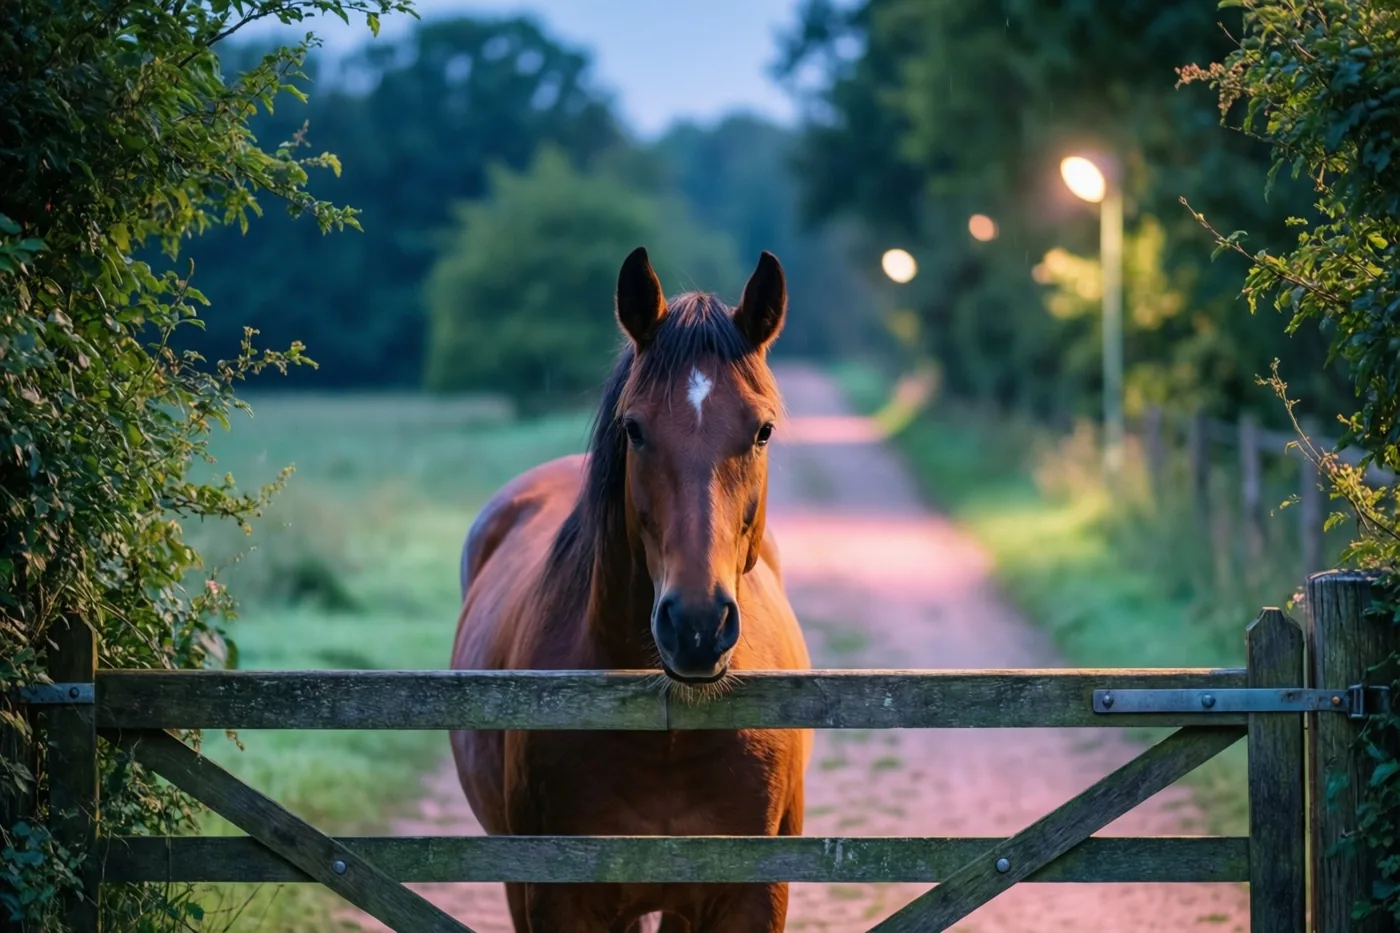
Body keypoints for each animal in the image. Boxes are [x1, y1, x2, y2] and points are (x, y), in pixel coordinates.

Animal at [449, 247, 813, 932]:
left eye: (764, 431)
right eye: (635, 429)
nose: (696, 626)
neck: (665, 732)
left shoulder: (753, 897)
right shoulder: (558, 899)